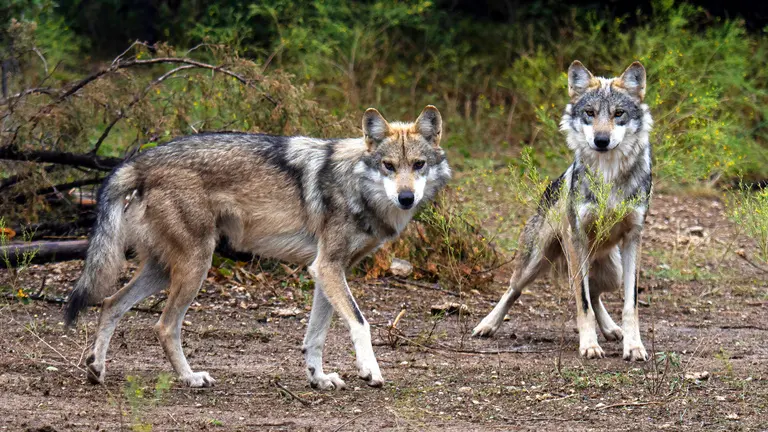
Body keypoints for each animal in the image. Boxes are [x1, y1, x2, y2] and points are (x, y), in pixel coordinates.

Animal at [65, 106, 451, 389]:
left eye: (418, 165)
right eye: (389, 166)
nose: (406, 198)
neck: (355, 184)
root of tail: (139, 161)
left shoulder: (328, 270)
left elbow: (316, 337)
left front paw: (319, 379)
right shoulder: (327, 267)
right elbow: (360, 323)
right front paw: (370, 371)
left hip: (164, 270)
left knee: (110, 304)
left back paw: (96, 370)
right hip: (195, 266)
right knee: (163, 325)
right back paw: (190, 378)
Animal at [473, 61, 652, 362]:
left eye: (619, 114)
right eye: (590, 113)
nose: (601, 140)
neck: (608, 174)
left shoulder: (633, 238)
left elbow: (630, 305)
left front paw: (634, 346)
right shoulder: (576, 238)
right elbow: (582, 301)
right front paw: (589, 345)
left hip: (612, 271)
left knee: (596, 292)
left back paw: (612, 329)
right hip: (538, 261)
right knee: (514, 289)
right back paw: (487, 324)